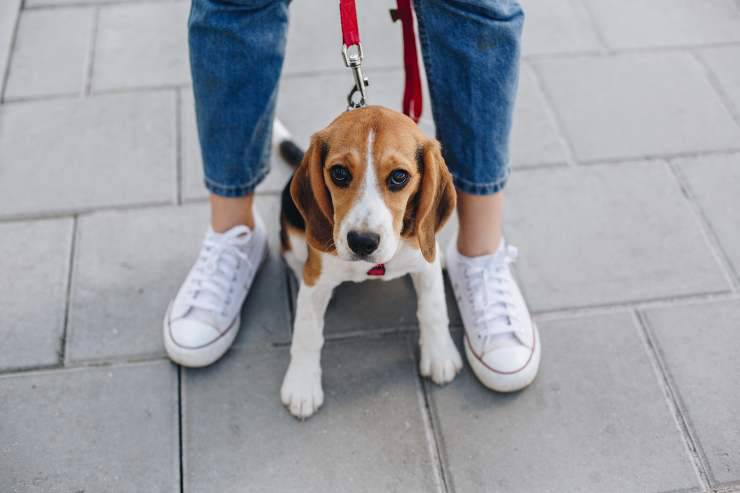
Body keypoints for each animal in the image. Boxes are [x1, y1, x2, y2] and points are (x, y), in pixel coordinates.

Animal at [278, 105, 460, 418]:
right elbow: (307, 332)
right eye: (339, 173)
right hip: (292, 233)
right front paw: (302, 384)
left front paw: (439, 354)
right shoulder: (317, 276)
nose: (362, 242)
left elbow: (433, 309)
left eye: (399, 177)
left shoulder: (424, 263)